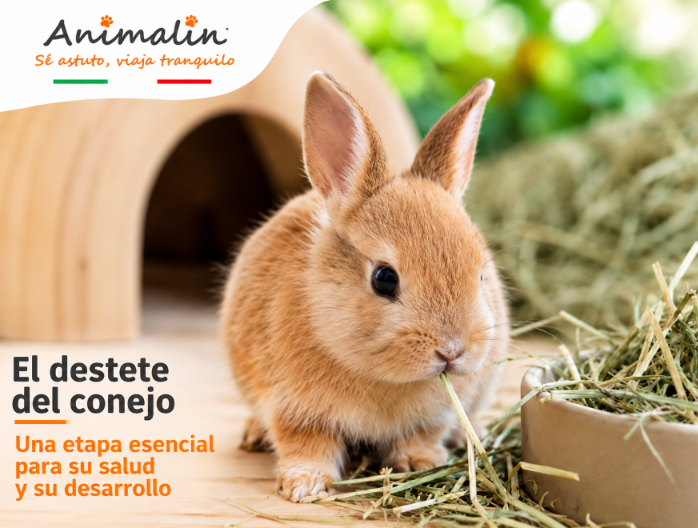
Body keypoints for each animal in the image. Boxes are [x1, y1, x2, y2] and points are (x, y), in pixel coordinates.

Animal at [221, 72, 509, 502]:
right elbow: (305, 443)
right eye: (384, 278)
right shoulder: (294, 409)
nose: (452, 351)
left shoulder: (433, 417)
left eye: (480, 275)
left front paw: (421, 462)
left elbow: (423, 434)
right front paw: (303, 486)